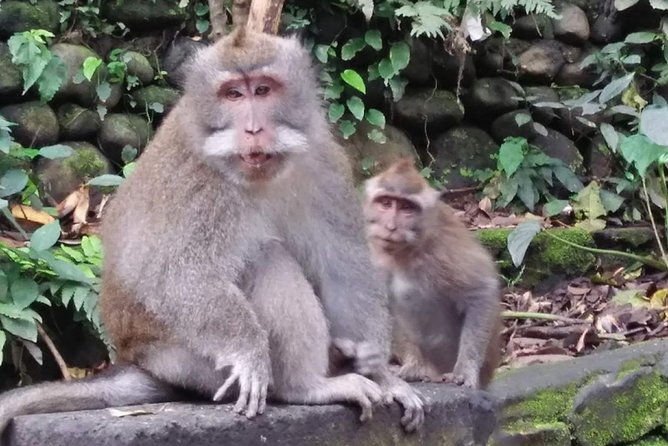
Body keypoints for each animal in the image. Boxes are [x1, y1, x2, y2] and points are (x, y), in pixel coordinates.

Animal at [0, 28, 427, 440]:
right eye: (233, 94)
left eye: (263, 90)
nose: (253, 129)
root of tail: (139, 360)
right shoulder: (198, 184)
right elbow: (171, 276)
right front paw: (250, 351)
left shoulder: (323, 160)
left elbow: (345, 264)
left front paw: (383, 375)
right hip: (190, 363)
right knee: (266, 260)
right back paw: (305, 387)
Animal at [363, 159, 502, 390]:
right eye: (386, 203)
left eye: (406, 208)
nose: (390, 227)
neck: (406, 252)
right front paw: (413, 365)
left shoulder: (444, 251)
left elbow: (481, 291)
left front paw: (465, 371)